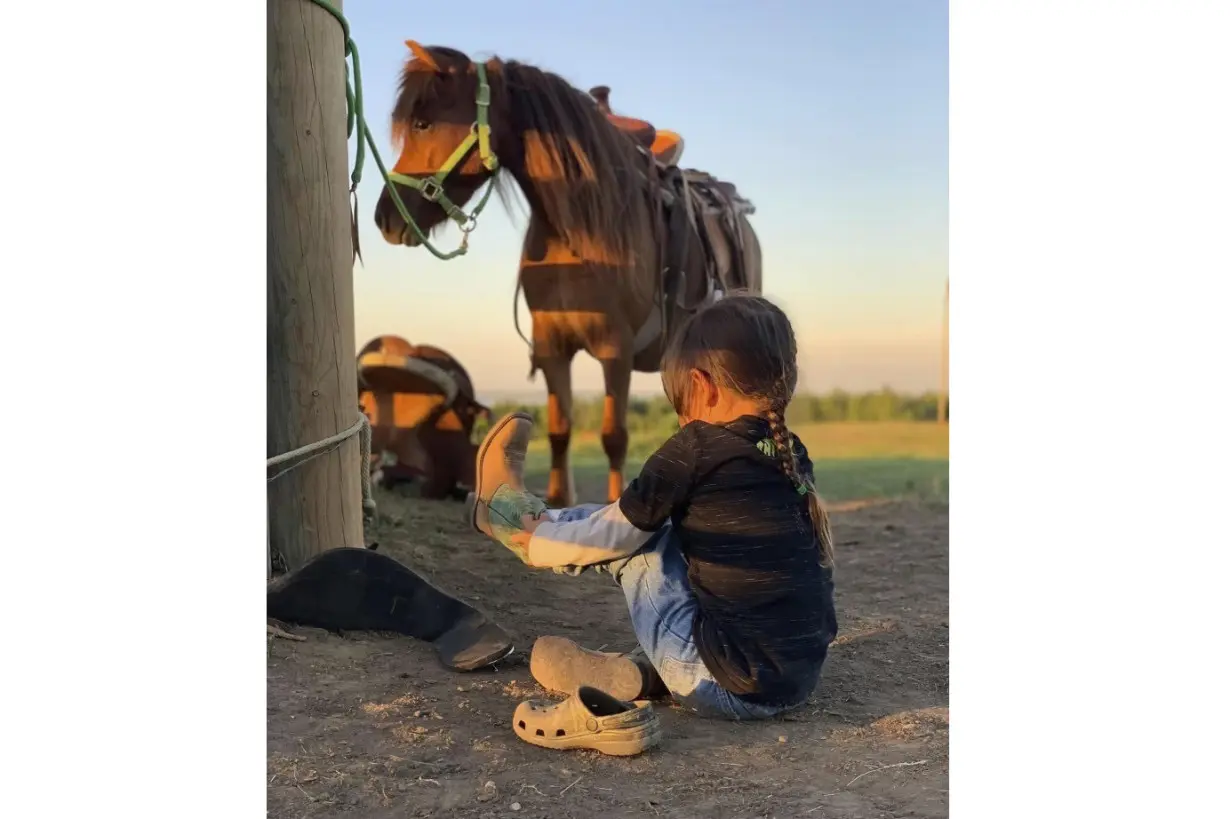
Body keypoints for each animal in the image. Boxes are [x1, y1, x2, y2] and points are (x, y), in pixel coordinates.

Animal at [371, 44, 757, 506]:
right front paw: (556, 501)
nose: (385, 218)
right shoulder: (551, 345)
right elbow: (559, 431)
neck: (578, 231)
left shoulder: (615, 350)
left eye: (423, 123)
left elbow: (613, 436)